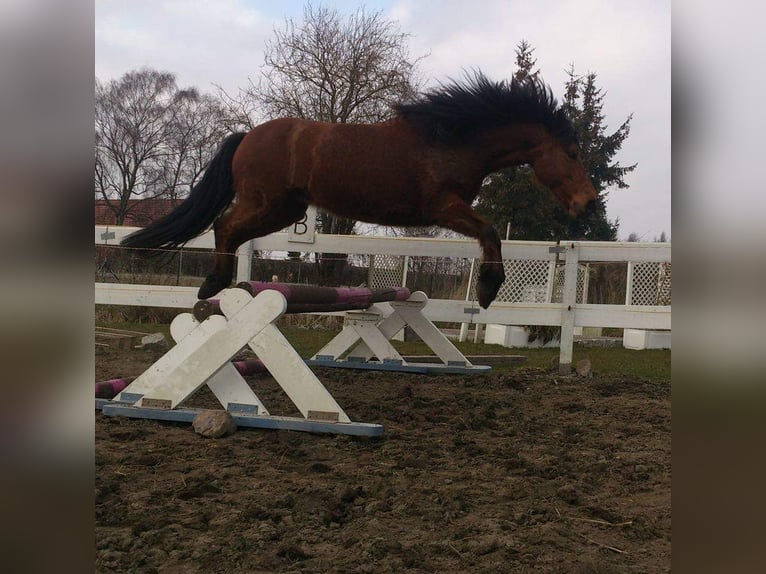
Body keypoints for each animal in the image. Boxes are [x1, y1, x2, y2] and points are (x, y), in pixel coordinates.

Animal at [121, 73, 600, 310]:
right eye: (572, 152)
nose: (589, 203)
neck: (450, 139)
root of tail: (247, 136)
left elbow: (489, 233)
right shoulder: (443, 206)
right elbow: (490, 233)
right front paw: (487, 290)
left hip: (282, 209)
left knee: (231, 230)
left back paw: (216, 287)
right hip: (267, 202)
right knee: (225, 225)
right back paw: (212, 285)